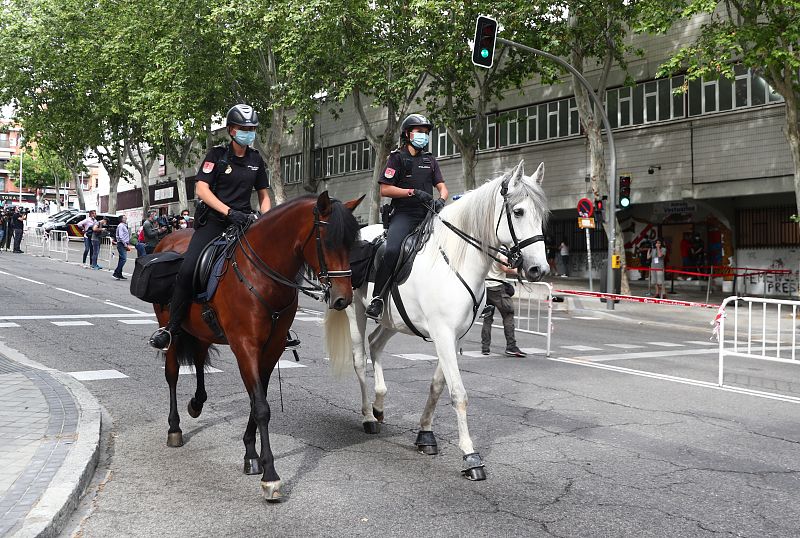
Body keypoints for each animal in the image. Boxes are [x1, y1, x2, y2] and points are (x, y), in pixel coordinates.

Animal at [152, 192, 362, 501]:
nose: (342, 298)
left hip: (202, 330)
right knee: (171, 373)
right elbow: (261, 406)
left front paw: (251, 454)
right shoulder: (245, 346)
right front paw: (270, 475)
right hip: (172, 329)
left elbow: (257, 400)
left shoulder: (271, 349)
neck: (263, 276)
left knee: (200, 360)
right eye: (328, 240)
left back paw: (197, 403)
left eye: (353, 243)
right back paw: (175, 427)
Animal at [339, 160, 549, 480]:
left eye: (542, 216)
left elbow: (438, 387)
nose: (539, 269)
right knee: (360, 358)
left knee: (375, 345)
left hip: (393, 319)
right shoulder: (443, 334)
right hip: (356, 312)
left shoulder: (451, 336)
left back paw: (379, 405)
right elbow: (459, 393)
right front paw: (471, 456)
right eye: (518, 212)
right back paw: (367, 416)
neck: (457, 261)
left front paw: (425, 434)